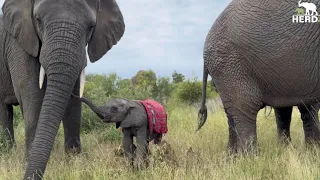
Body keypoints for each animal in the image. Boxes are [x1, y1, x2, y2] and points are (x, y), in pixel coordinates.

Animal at [0, 0, 125, 179]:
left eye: (91, 27)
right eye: (38, 20)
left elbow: (73, 102)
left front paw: (75, 164)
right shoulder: (18, 44)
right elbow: (32, 95)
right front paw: (29, 163)